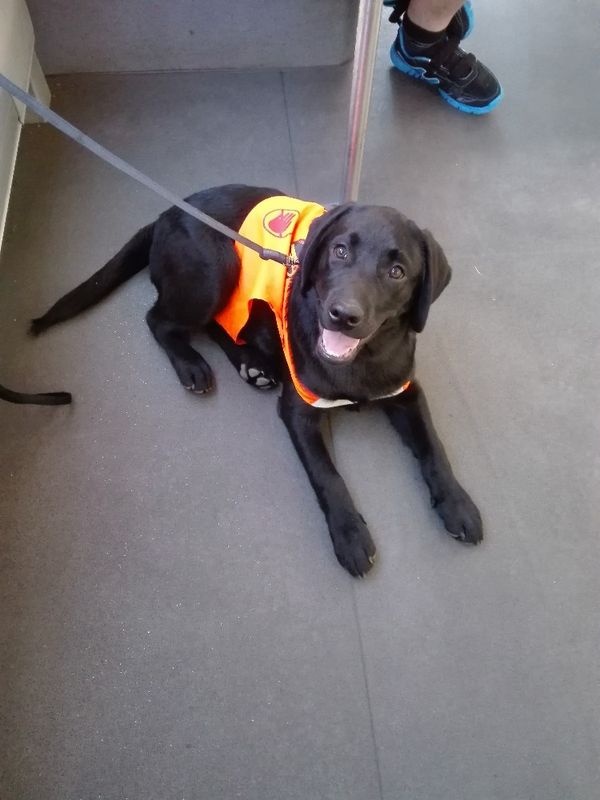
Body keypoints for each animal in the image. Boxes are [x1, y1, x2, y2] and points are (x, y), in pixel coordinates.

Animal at [31, 184, 482, 576]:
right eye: (339, 251)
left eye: (397, 271)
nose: (342, 314)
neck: (362, 360)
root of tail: (167, 212)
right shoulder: (299, 410)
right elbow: (328, 476)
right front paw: (350, 534)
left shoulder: (406, 391)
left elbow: (434, 448)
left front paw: (458, 503)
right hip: (216, 270)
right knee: (159, 318)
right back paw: (192, 365)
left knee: (219, 324)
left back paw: (252, 364)